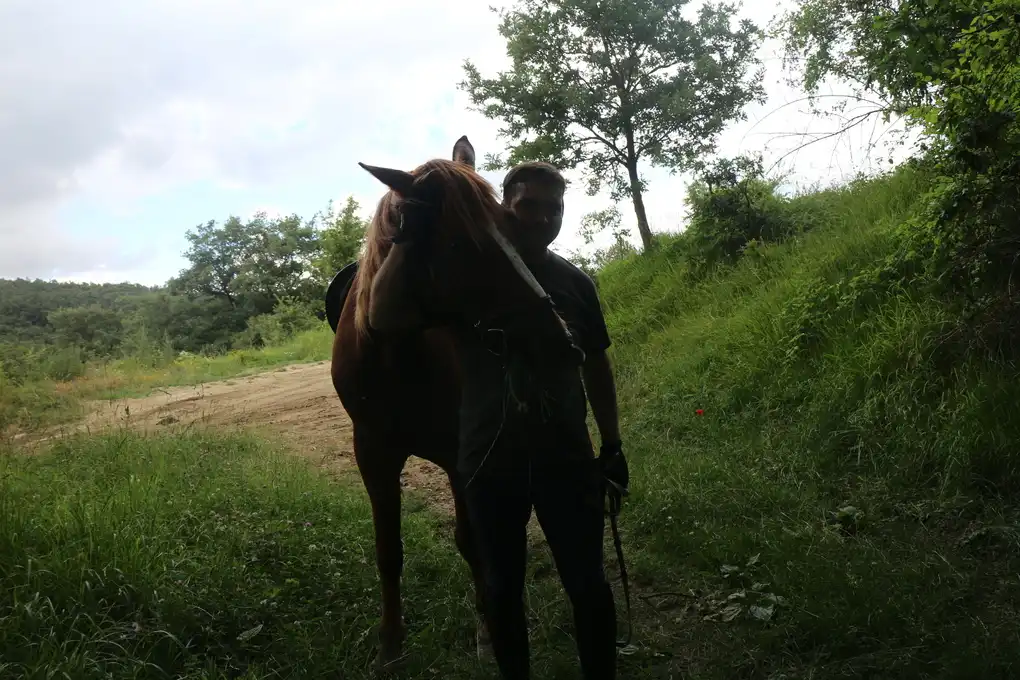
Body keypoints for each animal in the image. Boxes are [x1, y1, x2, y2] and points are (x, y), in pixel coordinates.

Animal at [327, 136, 581, 669]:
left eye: (510, 227)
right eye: (459, 244)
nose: (561, 340)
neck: (395, 354)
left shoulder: (461, 456)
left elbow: (471, 542)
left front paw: (488, 626)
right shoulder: (372, 455)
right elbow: (388, 550)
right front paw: (390, 644)